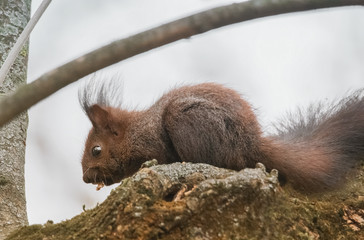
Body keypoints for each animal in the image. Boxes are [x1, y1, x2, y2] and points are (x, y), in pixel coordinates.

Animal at [79, 79, 364, 193]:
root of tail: (250, 143)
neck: (134, 132)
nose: (85, 179)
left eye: (96, 150)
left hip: (188, 121)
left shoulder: (152, 142)